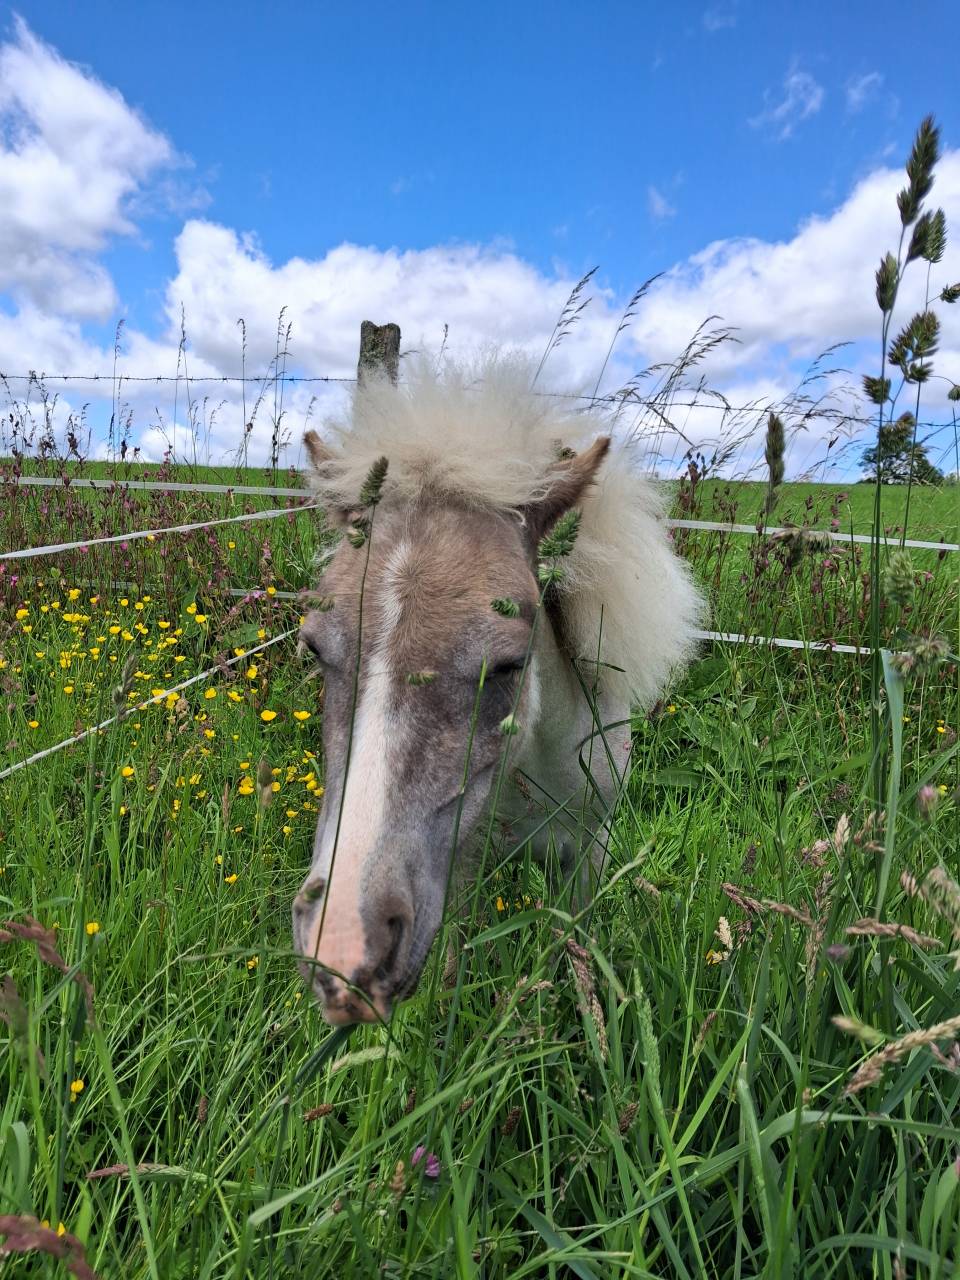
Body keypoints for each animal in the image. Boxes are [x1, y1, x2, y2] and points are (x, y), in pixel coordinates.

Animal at [291, 356, 703, 1025]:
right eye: (315, 648)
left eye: (509, 663)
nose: (345, 950)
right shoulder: (458, 873)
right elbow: (455, 967)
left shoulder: (588, 852)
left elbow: (573, 944)